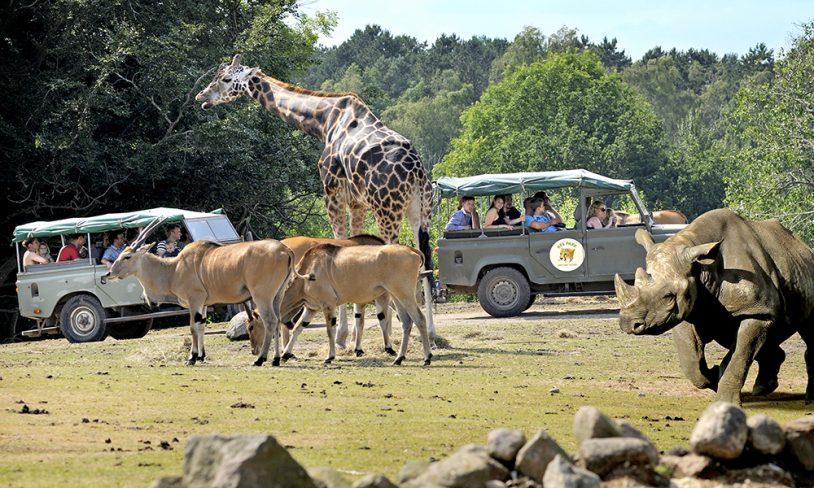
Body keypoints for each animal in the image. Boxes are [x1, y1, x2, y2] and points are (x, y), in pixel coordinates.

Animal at [105, 220, 294, 366]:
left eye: (127, 257)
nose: (108, 273)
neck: (174, 269)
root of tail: (286, 250)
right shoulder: (203, 304)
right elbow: (201, 325)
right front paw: (202, 356)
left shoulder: (194, 300)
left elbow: (192, 327)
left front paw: (192, 357)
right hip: (277, 295)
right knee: (278, 321)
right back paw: (276, 359)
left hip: (262, 296)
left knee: (270, 321)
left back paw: (260, 359)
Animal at [197, 55, 436, 346]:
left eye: (227, 79)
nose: (202, 97)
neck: (323, 122)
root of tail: (416, 171)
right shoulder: (356, 202)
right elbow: (354, 247)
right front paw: (355, 334)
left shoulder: (332, 193)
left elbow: (340, 243)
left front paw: (344, 336)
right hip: (420, 211)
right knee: (425, 262)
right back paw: (432, 333)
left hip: (386, 209)